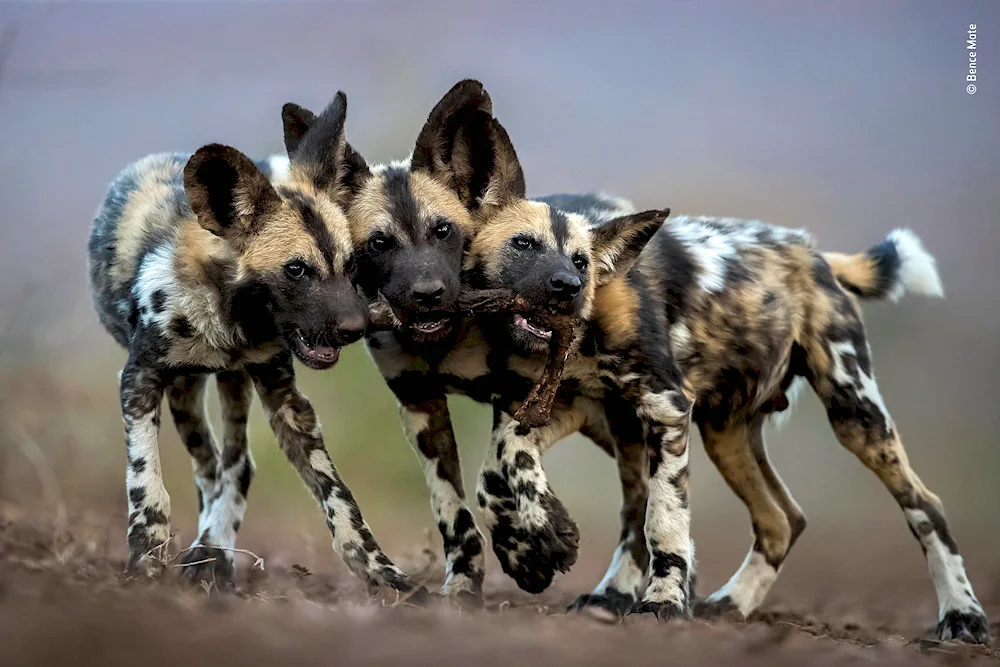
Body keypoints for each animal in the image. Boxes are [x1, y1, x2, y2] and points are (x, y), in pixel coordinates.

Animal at [87, 94, 426, 600]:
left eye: (352, 265)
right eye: (296, 270)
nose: (356, 328)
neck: (231, 323)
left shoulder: (283, 395)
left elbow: (339, 497)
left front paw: (384, 575)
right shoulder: (139, 382)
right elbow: (147, 482)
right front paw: (146, 560)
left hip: (226, 384)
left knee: (235, 465)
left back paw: (214, 551)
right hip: (186, 390)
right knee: (209, 467)